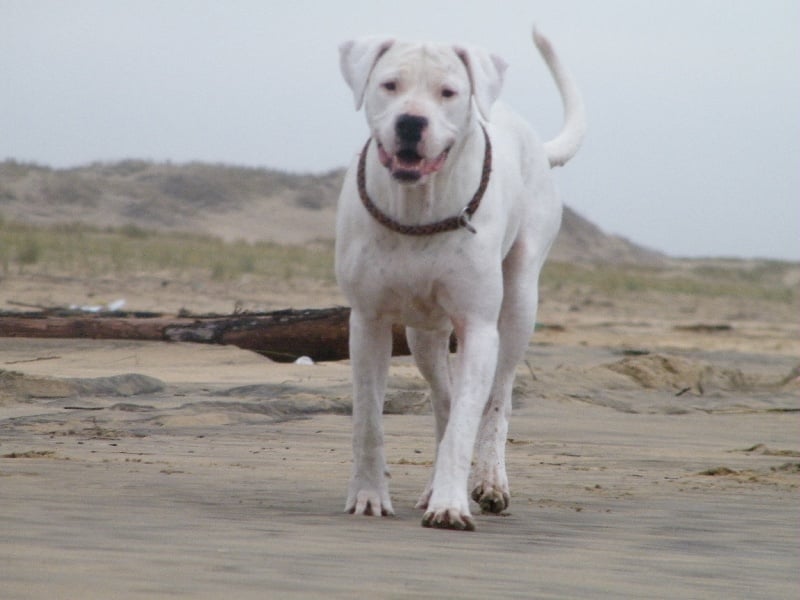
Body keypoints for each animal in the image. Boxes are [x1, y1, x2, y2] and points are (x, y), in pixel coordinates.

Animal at [334, 27, 584, 528]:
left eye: (447, 92)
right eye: (390, 85)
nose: (411, 122)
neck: (417, 207)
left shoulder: (479, 327)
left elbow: (469, 419)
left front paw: (451, 503)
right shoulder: (368, 322)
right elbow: (368, 420)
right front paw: (369, 495)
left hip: (519, 304)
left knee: (497, 399)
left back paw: (489, 481)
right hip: (423, 334)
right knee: (443, 400)